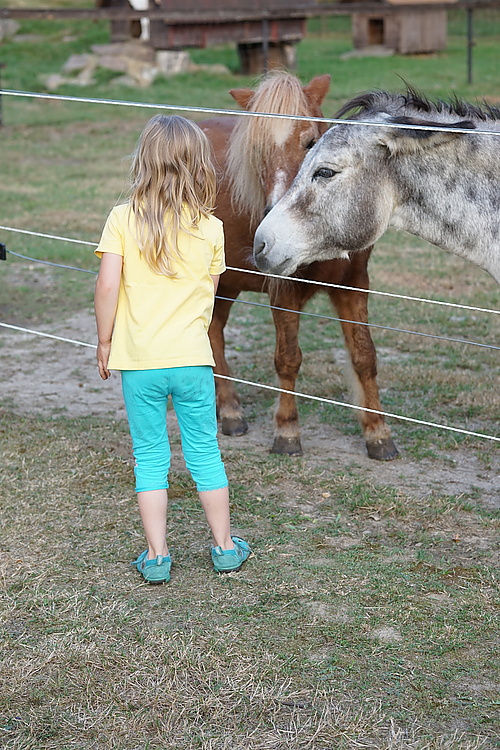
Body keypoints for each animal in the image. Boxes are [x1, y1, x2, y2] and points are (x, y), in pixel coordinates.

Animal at [197, 72, 396, 458]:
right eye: (256, 152)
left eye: (311, 142)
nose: (273, 223)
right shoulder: (283, 291)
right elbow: (288, 358)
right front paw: (287, 431)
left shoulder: (354, 284)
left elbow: (365, 356)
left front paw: (378, 432)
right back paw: (230, 411)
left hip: (226, 284)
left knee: (213, 332)